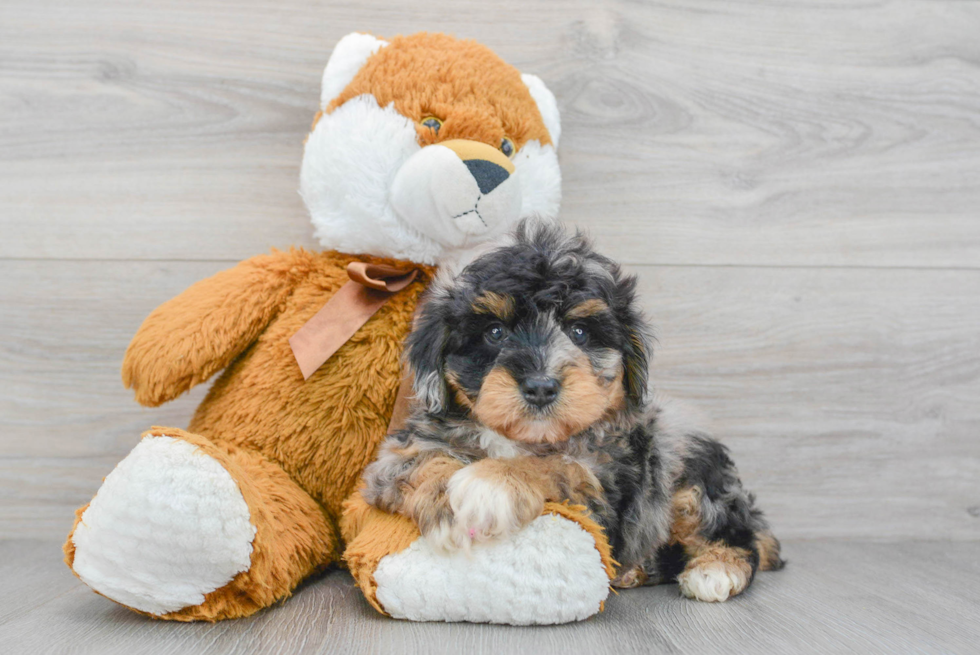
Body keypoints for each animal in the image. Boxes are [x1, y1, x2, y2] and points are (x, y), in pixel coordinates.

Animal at [364, 222, 784, 604]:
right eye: (495, 332)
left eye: (579, 332)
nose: (540, 386)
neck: (525, 437)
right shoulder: (393, 459)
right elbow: (423, 463)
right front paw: (449, 506)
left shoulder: (605, 490)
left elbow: (557, 465)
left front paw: (489, 484)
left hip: (692, 478)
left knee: (737, 535)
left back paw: (716, 569)